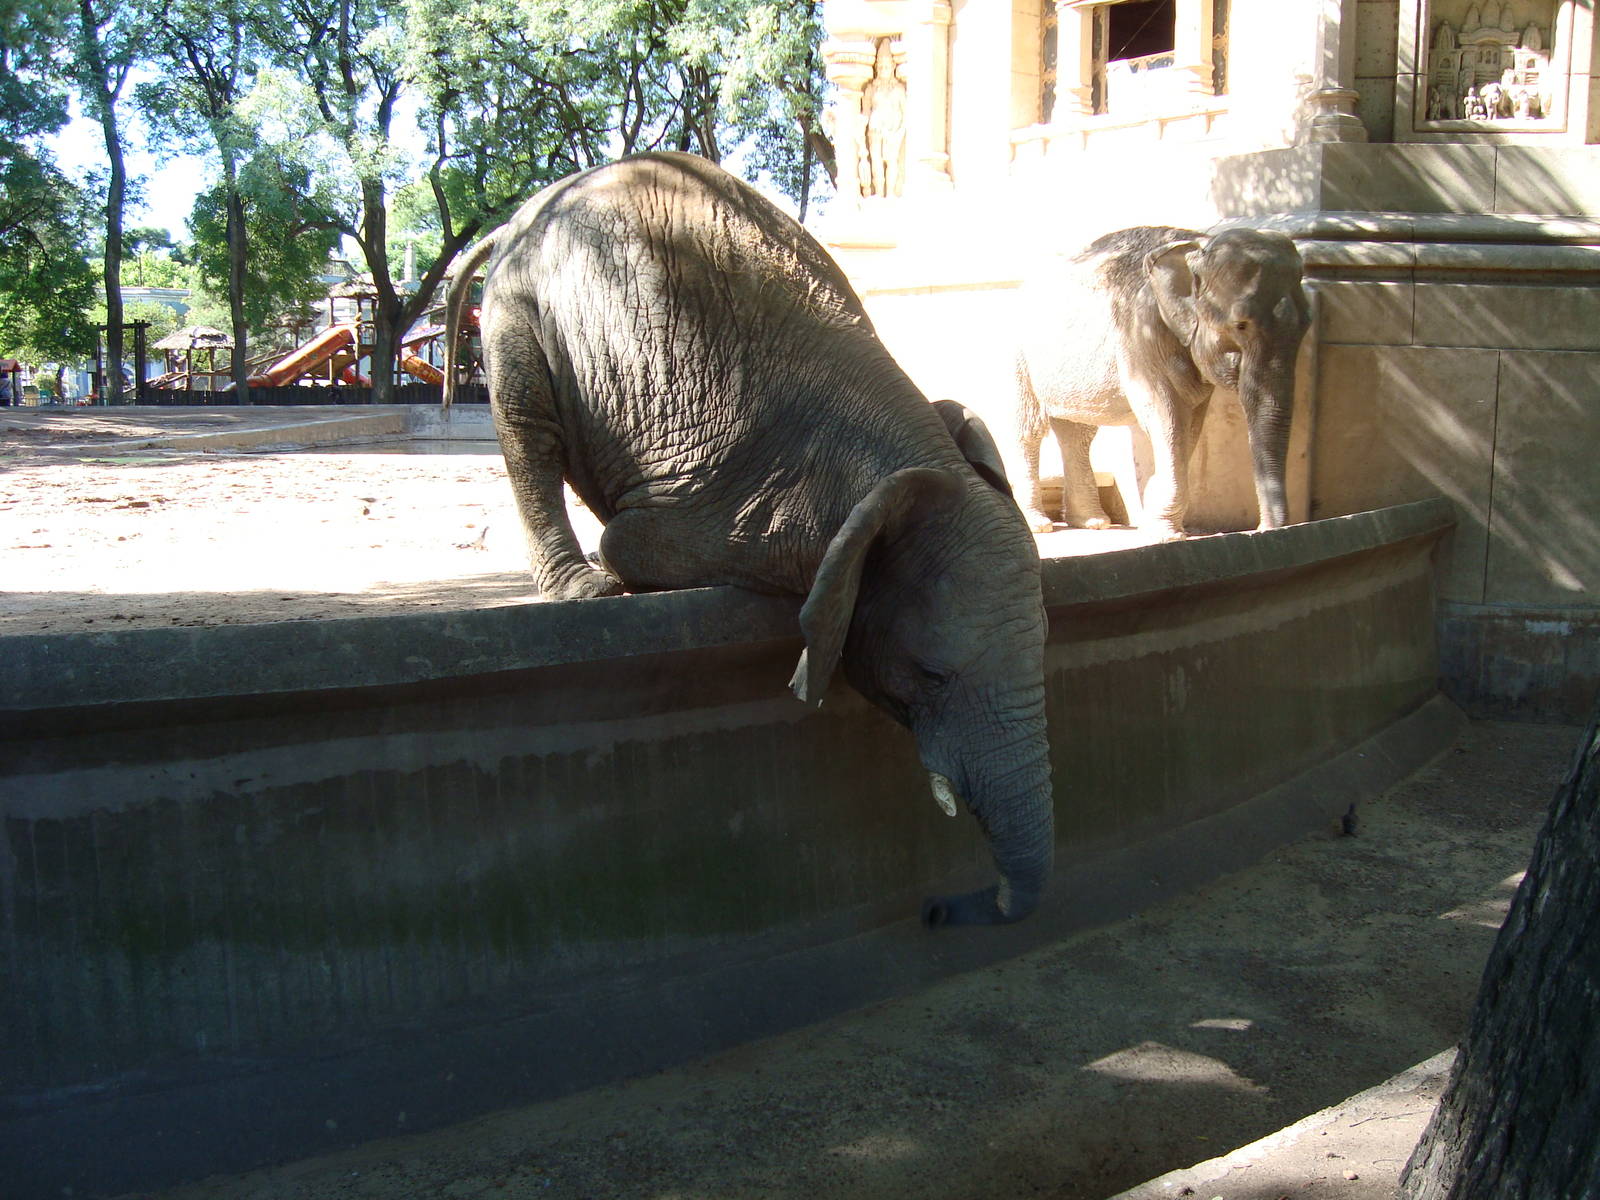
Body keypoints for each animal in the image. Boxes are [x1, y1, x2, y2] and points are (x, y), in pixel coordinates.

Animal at [442, 152, 1052, 928]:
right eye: (932, 674)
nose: (944, 909)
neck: (905, 462)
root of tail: (522, 212)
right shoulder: (749, 509)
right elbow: (633, 541)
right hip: (519, 305)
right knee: (528, 426)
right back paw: (584, 588)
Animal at [1014, 225, 1312, 539]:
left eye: (1308, 322)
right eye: (1240, 325)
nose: (1263, 529)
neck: (1198, 245)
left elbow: (1191, 423)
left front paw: (1155, 517)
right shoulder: (1142, 333)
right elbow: (1168, 416)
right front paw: (1166, 534)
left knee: (1078, 433)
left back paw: (1093, 522)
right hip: (1017, 353)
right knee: (1028, 430)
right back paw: (1041, 525)